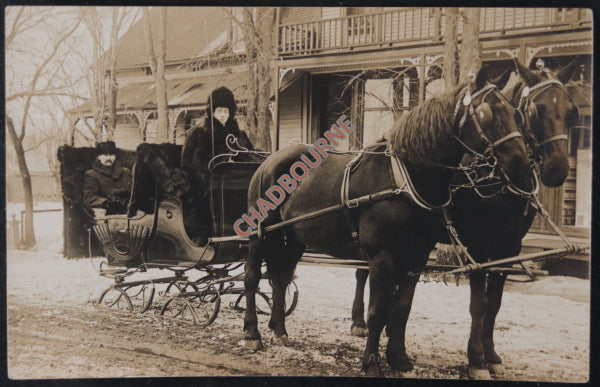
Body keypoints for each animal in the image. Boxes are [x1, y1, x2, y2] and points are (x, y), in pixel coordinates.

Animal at [241, 68, 532, 378]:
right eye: (486, 113)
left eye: (515, 113)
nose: (520, 162)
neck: (403, 179)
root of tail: (269, 160)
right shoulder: (382, 257)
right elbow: (378, 312)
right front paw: (371, 362)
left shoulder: (416, 257)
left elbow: (402, 308)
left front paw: (399, 357)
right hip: (260, 234)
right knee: (252, 277)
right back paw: (252, 334)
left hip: (294, 237)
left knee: (281, 277)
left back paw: (279, 329)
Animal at [350, 59, 580, 380]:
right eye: (535, 109)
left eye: (571, 110)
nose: (557, 169)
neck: (498, 178)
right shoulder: (479, 246)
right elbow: (478, 305)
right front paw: (476, 359)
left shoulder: (510, 247)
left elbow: (494, 304)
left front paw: (492, 354)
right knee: (362, 272)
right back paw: (359, 321)